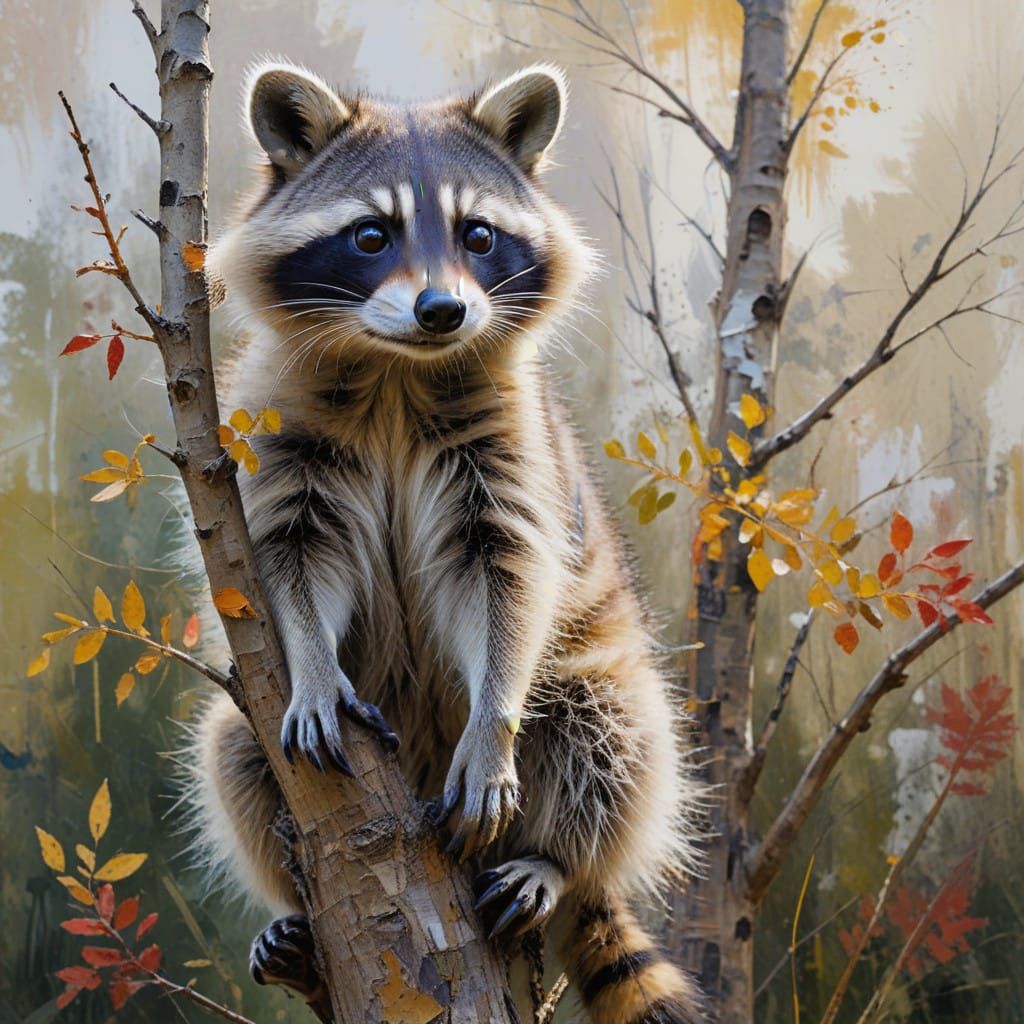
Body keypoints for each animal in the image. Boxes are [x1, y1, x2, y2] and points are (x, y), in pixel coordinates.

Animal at [189, 60, 705, 1023]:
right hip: (256, 728)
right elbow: (290, 556)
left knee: (611, 734)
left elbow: (508, 575)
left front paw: (494, 720)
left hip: (600, 679)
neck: (400, 369)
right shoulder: (276, 426)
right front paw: (311, 661)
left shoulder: (513, 449)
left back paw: (558, 858)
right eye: (369, 236)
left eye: (478, 235)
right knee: (232, 744)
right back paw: (293, 910)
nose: (442, 310)